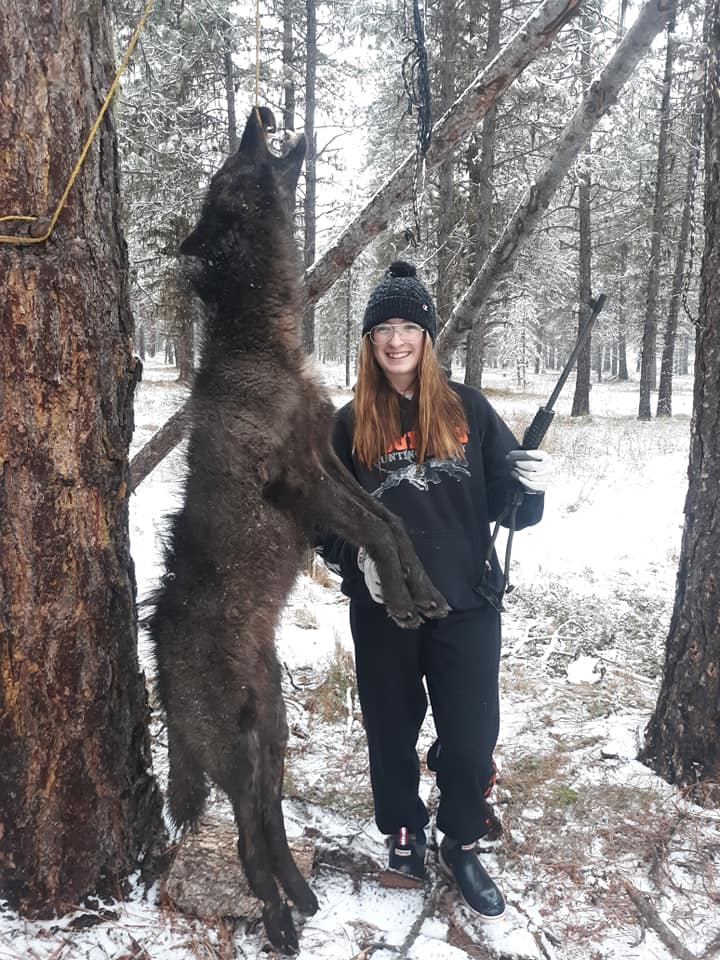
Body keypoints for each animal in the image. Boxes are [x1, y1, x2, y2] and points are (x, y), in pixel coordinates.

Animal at [148, 107, 449, 954]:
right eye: (230, 168)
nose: (257, 115)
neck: (264, 343)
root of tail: (159, 672)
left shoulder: (328, 463)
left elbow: (390, 524)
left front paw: (419, 593)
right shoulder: (304, 481)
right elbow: (376, 532)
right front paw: (405, 603)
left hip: (271, 737)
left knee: (272, 829)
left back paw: (304, 900)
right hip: (237, 749)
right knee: (250, 842)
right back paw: (280, 922)